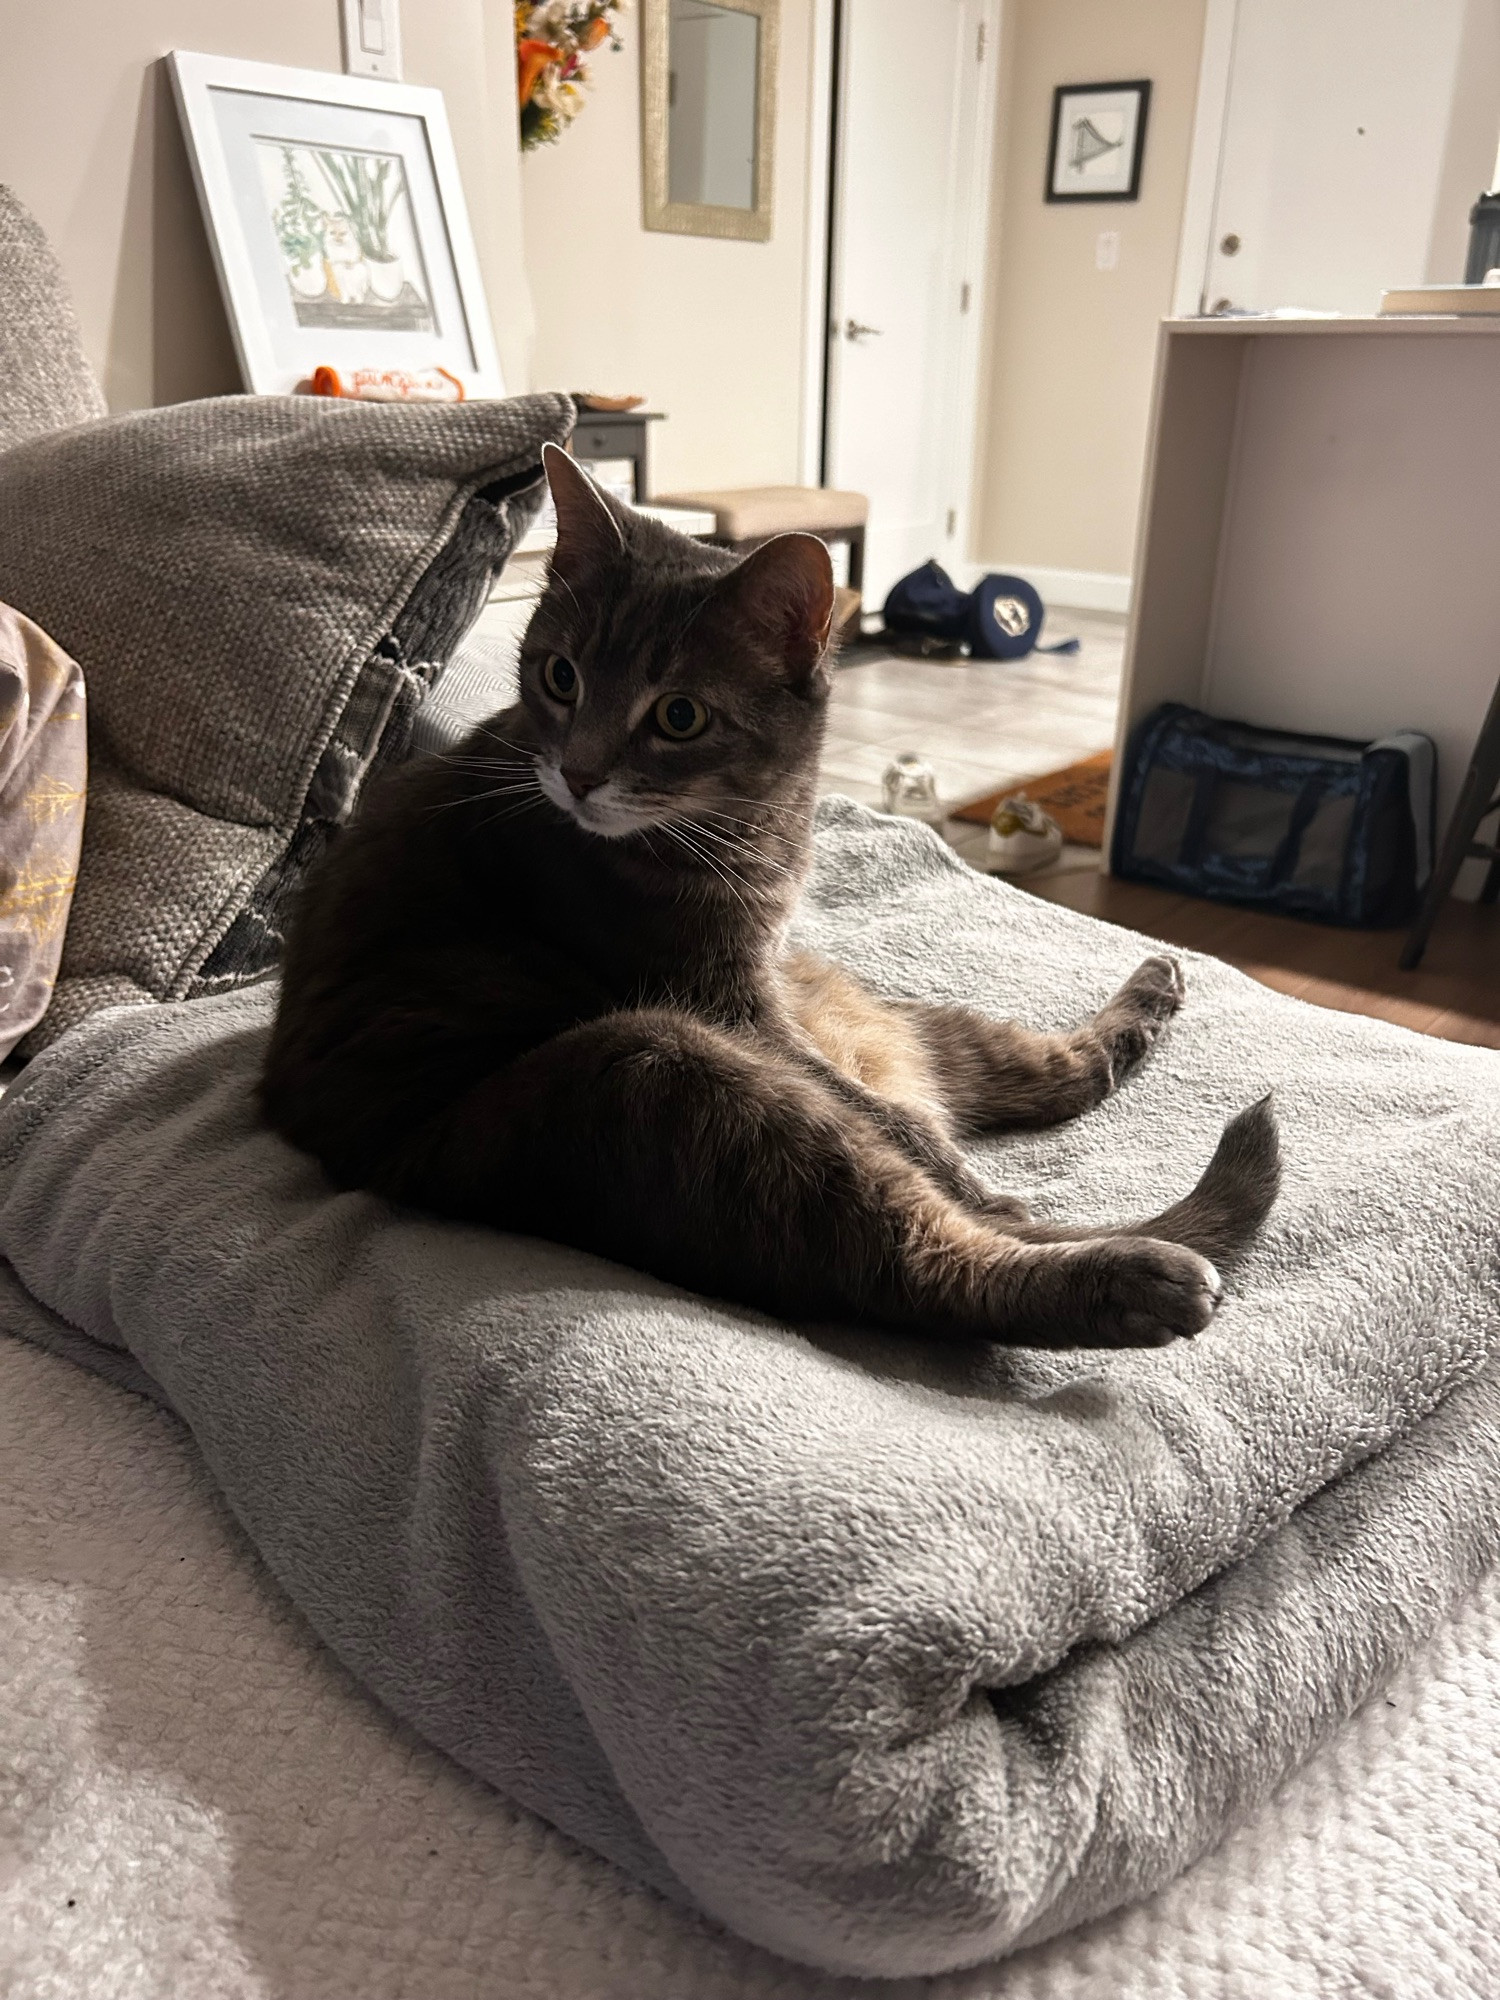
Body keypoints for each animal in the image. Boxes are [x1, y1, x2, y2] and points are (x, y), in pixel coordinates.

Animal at [268, 448, 1280, 1352]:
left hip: (863, 1007)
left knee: (1059, 1075)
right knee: (921, 1257)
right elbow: (879, 1124)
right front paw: (962, 1177)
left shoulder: (771, 985)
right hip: (660, 1073)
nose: (580, 777)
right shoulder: (730, 1009)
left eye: (679, 716)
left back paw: (1150, 992)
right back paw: (1118, 1267)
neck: (759, 822)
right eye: (560, 676)